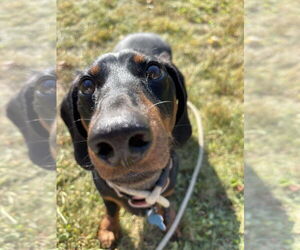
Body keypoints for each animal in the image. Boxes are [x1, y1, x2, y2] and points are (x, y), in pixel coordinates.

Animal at [60, 33, 192, 248]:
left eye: (154, 71)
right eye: (86, 85)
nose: (118, 135)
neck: (139, 189)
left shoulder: (169, 187)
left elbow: (166, 203)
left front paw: (171, 221)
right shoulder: (105, 193)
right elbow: (111, 209)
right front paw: (109, 229)